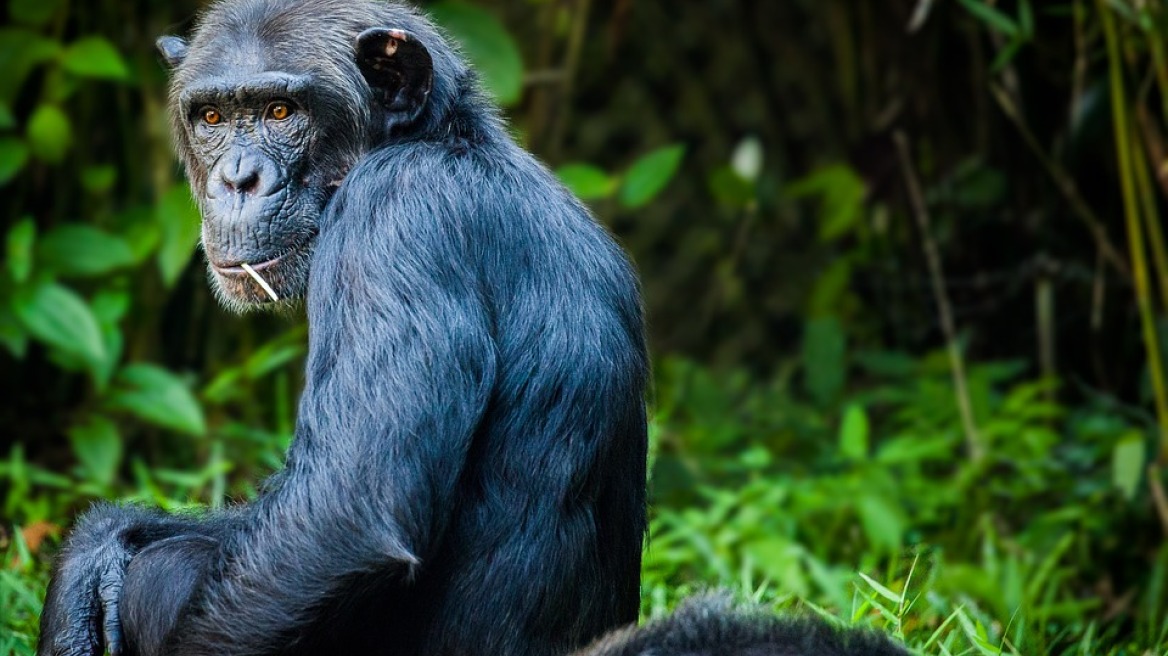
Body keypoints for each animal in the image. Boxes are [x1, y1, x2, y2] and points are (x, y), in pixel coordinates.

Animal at [34, 1, 911, 653]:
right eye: (213, 116)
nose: (236, 178)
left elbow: (341, 515)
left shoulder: (396, 223)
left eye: (281, 110)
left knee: (172, 579)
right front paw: (95, 550)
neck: (442, 143)